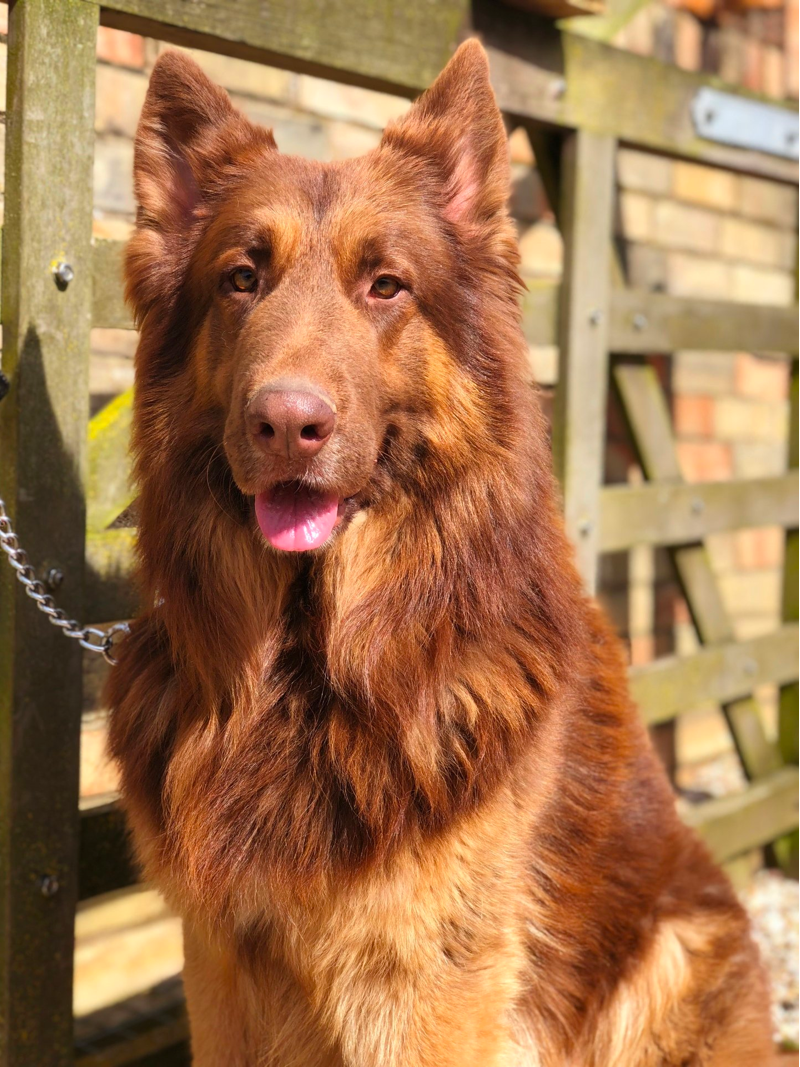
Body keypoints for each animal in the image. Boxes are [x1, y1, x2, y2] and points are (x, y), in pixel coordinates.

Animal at [106, 39, 776, 1067]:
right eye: (241, 278)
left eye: (386, 285)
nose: (286, 423)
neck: (304, 666)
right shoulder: (219, 961)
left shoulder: (431, 977)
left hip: (670, 949)